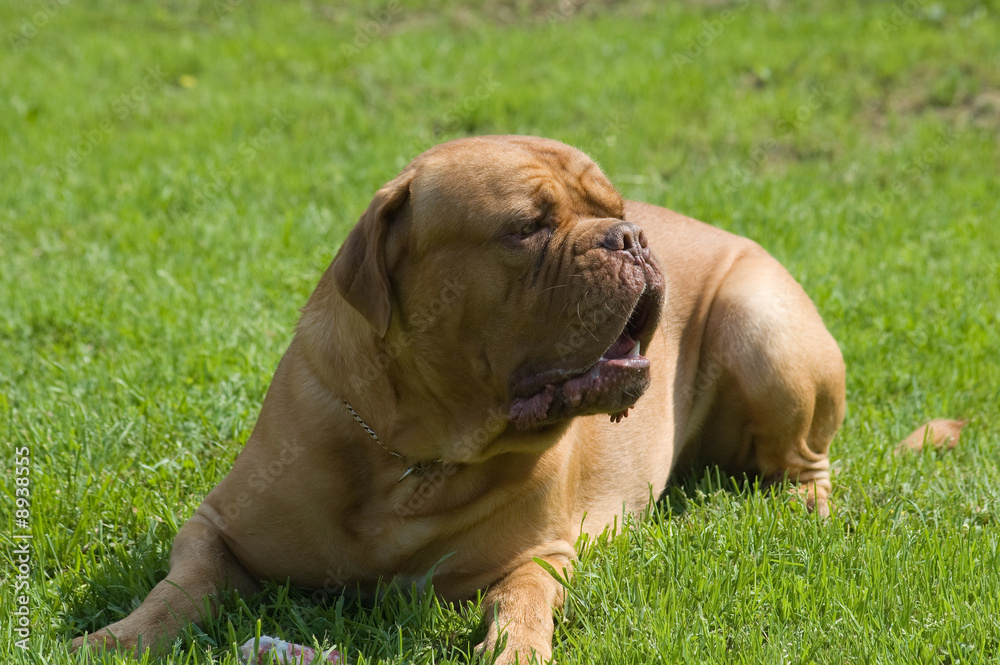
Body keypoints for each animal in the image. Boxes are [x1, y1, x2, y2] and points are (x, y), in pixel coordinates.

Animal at [74, 136, 848, 664]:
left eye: (616, 210)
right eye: (526, 228)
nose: (631, 236)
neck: (414, 452)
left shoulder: (541, 552)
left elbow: (522, 595)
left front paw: (519, 647)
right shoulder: (215, 526)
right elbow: (181, 588)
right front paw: (118, 636)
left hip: (760, 326)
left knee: (808, 464)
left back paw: (800, 511)